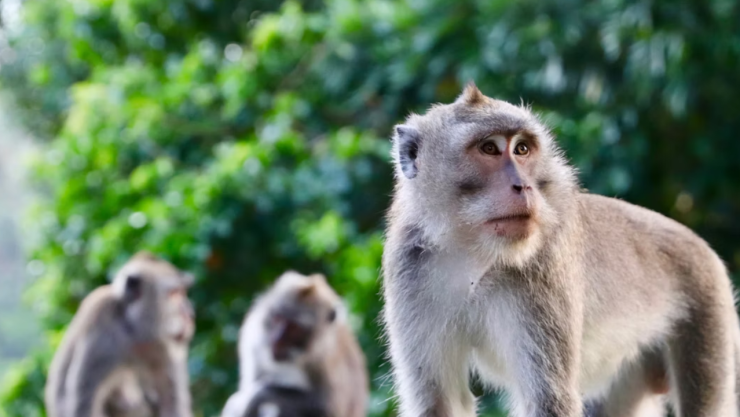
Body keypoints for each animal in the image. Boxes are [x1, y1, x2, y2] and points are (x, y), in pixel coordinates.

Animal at [45, 251, 195, 417]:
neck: (133, 331)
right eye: (174, 294)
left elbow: (171, 402)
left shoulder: (165, 348)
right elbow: (85, 403)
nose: (190, 314)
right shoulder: (101, 329)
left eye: (182, 292)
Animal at [221, 271, 368, 417]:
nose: (277, 339)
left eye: (294, 328)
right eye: (277, 318)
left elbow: (328, 407)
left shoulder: (324, 359)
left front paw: (256, 396)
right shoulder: (253, 342)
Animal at [381, 83, 740, 417]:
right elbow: (438, 400)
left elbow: (548, 399)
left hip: (707, 310)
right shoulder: (408, 267)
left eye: (522, 149)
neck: (473, 252)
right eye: (489, 148)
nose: (523, 186)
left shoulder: (543, 266)